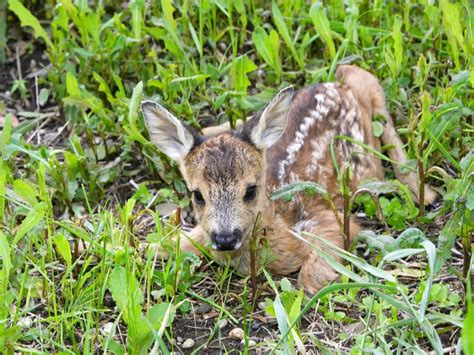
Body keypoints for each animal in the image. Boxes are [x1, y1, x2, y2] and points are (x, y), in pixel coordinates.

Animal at [139, 65, 436, 294]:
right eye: (197, 195)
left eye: (250, 190)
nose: (225, 238)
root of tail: (337, 86)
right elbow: (166, 245)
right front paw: (147, 245)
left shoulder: (328, 221)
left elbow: (309, 278)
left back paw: (424, 192)